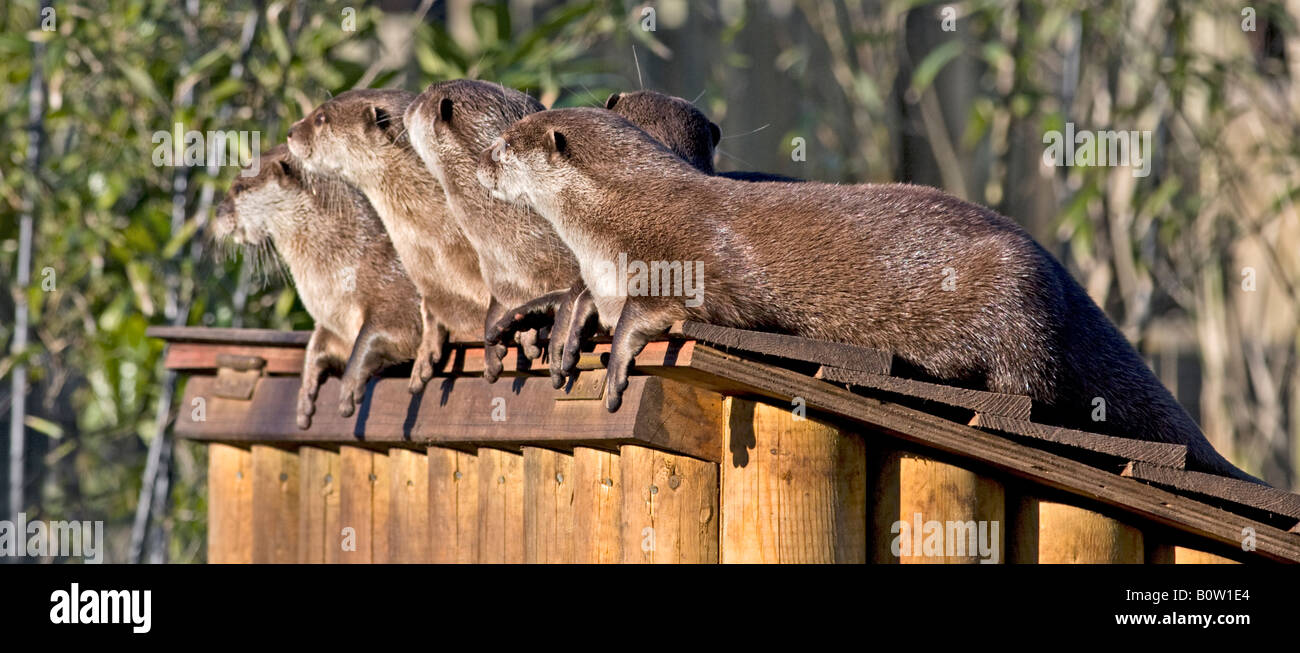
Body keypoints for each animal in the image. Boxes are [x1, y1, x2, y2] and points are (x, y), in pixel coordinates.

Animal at [210, 144, 418, 429]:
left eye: (239, 187)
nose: (217, 214)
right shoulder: (334, 321)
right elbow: (318, 342)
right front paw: (305, 389)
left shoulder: (396, 286)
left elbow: (386, 328)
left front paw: (350, 381)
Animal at [475, 108, 1258, 483]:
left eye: (508, 143)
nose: (484, 158)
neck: (616, 221)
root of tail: (1062, 273)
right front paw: (570, 330)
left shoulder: (698, 259)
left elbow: (674, 307)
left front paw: (617, 357)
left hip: (1016, 302)